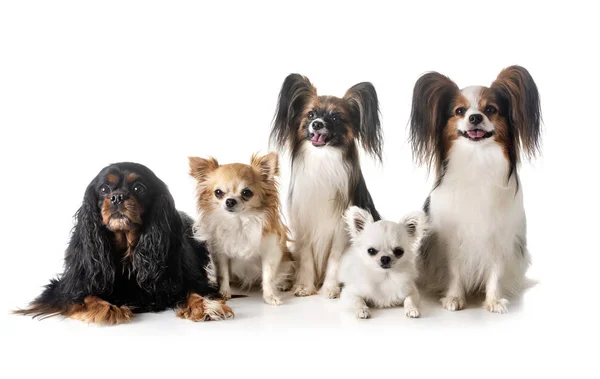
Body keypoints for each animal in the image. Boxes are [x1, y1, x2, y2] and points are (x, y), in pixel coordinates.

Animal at [186, 151, 292, 306]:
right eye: (218, 192)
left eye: (247, 192)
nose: (230, 201)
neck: (239, 221)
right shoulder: (220, 253)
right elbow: (223, 274)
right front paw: (224, 292)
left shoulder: (270, 252)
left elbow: (268, 276)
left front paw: (270, 296)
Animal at [270, 74, 382, 300]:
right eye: (311, 114)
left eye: (336, 118)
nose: (317, 124)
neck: (323, 159)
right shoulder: (305, 226)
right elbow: (305, 258)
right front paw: (304, 286)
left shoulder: (340, 230)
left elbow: (334, 260)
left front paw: (330, 289)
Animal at [410, 66, 540, 314]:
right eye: (459, 111)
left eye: (490, 109)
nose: (475, 117)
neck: (477, 158)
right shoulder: (451, 239)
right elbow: (454, 270)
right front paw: (454, 298)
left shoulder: (499, 236)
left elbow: (495, 271)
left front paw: (494, 301)